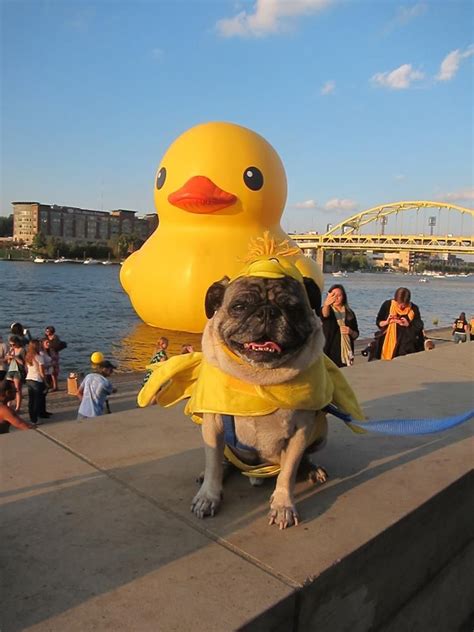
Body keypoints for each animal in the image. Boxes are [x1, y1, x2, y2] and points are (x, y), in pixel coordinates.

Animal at [190, 272, 330, 528]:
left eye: (292, 308)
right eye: (239, 307)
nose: (267, 311)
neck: (258, 378)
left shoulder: (301, 431)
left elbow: (288, 473)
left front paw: (283, 505)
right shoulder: (213, 424)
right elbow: (213, 462)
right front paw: (208, 496)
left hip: (321, 433)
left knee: (300, 460)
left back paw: (311, 469)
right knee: (222, 461)